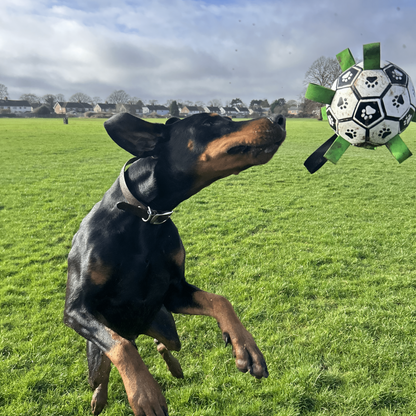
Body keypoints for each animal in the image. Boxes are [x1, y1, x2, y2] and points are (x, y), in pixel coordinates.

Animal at [64, 112, 286, 414]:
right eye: (210, 122)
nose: (280, 118)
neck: (145, 215)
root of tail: (138, 331)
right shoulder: (76, 308)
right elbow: (121, 348)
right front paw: (145, 394)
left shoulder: (174, 292)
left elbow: (221, 300)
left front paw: (246, 348)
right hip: (95, 352)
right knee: (106, 367)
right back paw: (99, 397)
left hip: (166, 325)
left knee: (162, 344)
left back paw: (175, 366)